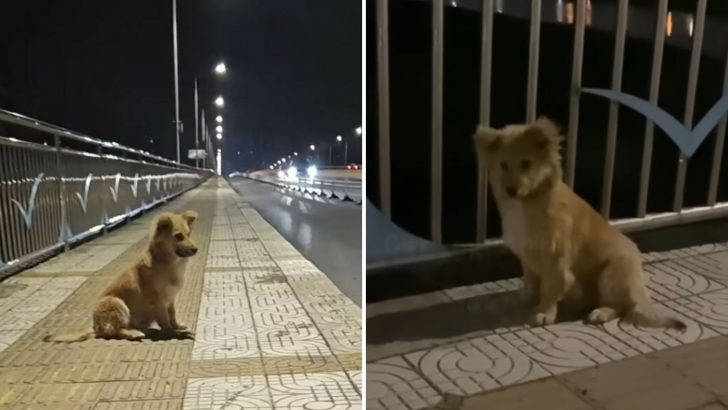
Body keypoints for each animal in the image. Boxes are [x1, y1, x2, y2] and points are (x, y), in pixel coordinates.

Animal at [45, 210, 199, 342]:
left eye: (189, 234)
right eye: (178, 236)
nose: (195, 249)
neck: (167, 262)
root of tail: (95, 327)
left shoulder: (170, 298)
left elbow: (172, 314)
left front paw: (177, 326)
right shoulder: (158, 301)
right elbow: (165, 321)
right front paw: (175, 333)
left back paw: (145, 330)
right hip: (116, 303)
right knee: (114, 331)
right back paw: (135, 334)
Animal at [474, 117, 684, 330]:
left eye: (526, 164)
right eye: (503, 165)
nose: (511, 190)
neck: (529, 203)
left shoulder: (556, 258)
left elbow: (551, 287)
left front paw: (544, 313)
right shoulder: (527, 255)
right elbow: (531, 282)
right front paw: (527, 300)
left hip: (610, 274)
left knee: (625, 306)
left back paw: (600, 312)